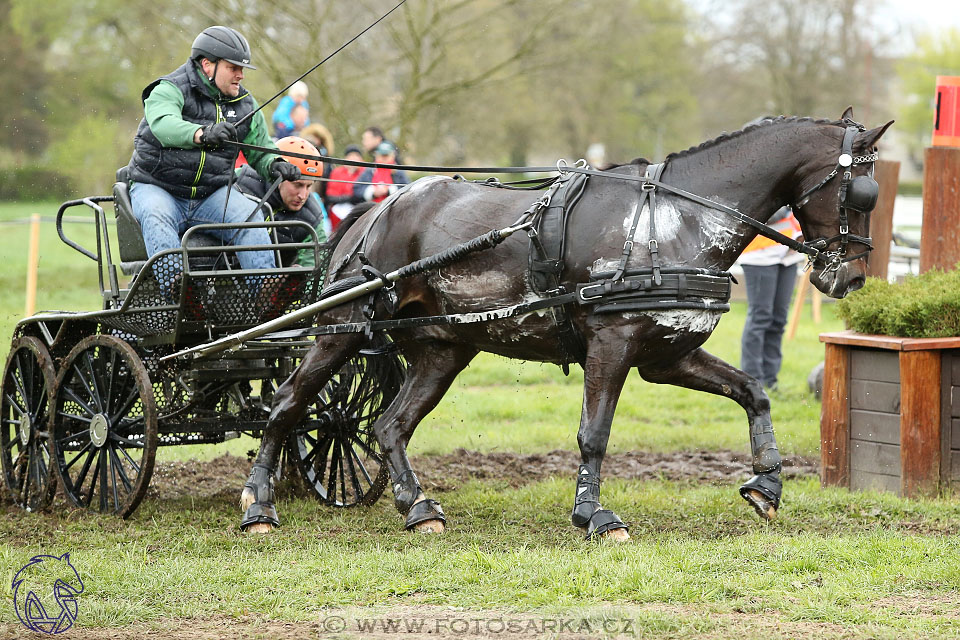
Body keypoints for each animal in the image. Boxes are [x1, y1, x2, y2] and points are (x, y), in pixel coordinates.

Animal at [238, 109, 892, 536]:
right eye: (860, 192)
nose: (851, 280)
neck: (672, 220)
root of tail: (378, 209)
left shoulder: (667, 356)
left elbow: (754, 391)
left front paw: (766, 485)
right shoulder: (613, 343)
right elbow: (594, 433)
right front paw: (593, 515)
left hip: (444, 348)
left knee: (390, 425)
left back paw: (418, 508)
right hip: (344, 329)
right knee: (288, 404)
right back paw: (258, 506)